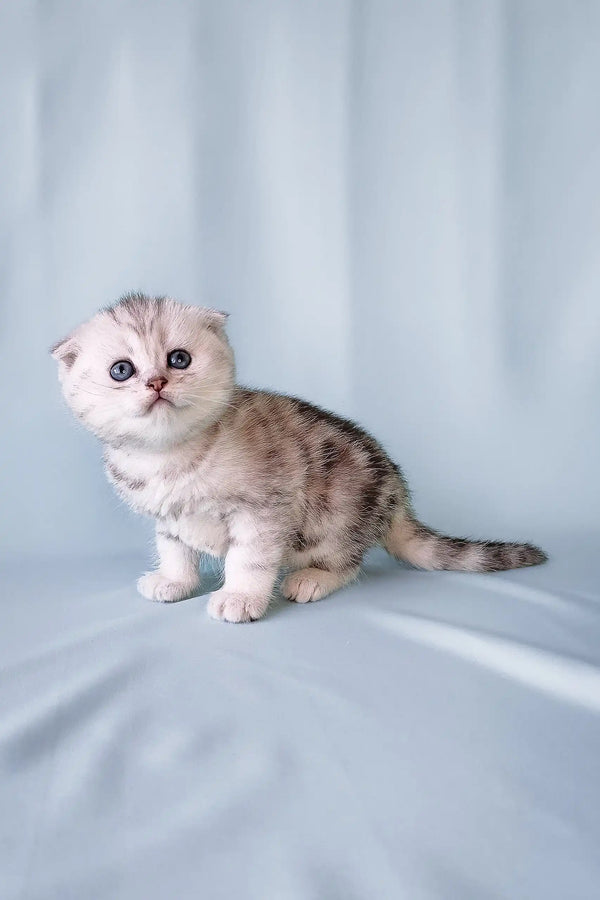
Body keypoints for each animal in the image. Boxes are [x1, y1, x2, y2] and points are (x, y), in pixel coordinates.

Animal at [51, 292, 548, 624]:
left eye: (179, 359)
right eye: (121, 370)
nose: (156, 382)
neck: (171, 457)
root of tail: (398, 493)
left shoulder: (263, 509)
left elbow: (248, 559)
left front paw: (239, 598)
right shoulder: (167, 518)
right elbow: (174, 550)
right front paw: (175, 582)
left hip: (339, 508)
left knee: (347, 562)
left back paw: (312, 579)